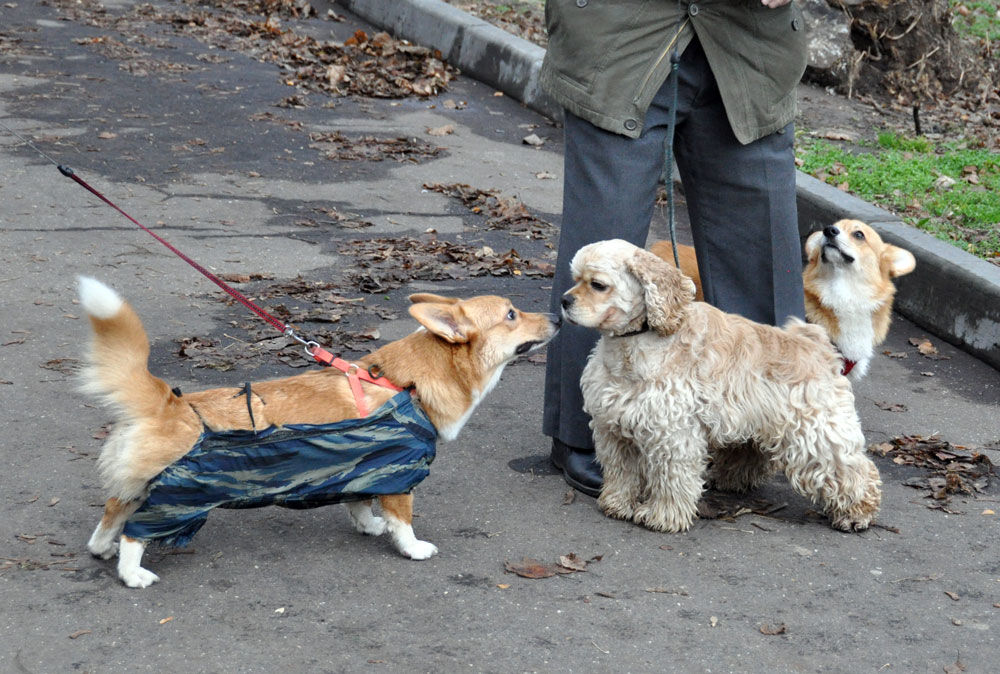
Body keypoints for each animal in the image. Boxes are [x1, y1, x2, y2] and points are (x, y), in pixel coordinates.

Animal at [78, 276, 560, 584]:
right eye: (512, 314)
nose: (558, 316)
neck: (409, 385)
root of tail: (170, 404)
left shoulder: (360, 470)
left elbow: (359, 505)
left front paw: (370, 526)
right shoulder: (398, 475)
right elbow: (402, 522)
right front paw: (413, 547)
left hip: (143, 485)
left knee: (112, 512)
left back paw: (102, 549)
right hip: (180, 499)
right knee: (135, 532)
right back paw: (133, 573)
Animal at [564, 239, 884, 532]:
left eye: (598, 285)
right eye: (574, 279)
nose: (564, 301)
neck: (637, 342)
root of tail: (817, 344)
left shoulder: (672, 434)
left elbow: (671, 478)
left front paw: (662, 516)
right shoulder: (613, 427)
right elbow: (621, 472)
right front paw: (617, 504)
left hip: (818, 434)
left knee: (854, 470)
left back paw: (857, 513)